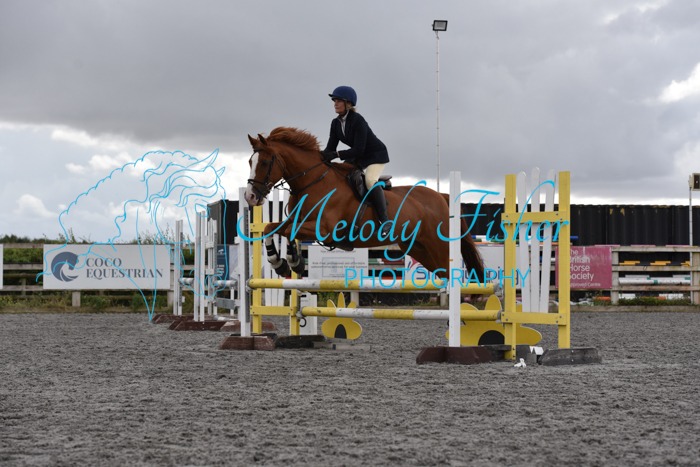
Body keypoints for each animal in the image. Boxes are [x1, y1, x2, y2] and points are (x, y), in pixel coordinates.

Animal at [243, 127, 484, 282]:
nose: (250, 197)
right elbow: (272, 228)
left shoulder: (324, 229)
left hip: (438, 246)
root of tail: (441, 197)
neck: (313, 182)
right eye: (249, 162)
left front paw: (291, 262)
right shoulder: (298, 221)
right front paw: (281, 262)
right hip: (420, 248)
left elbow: (288, 231)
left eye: (265, 162)